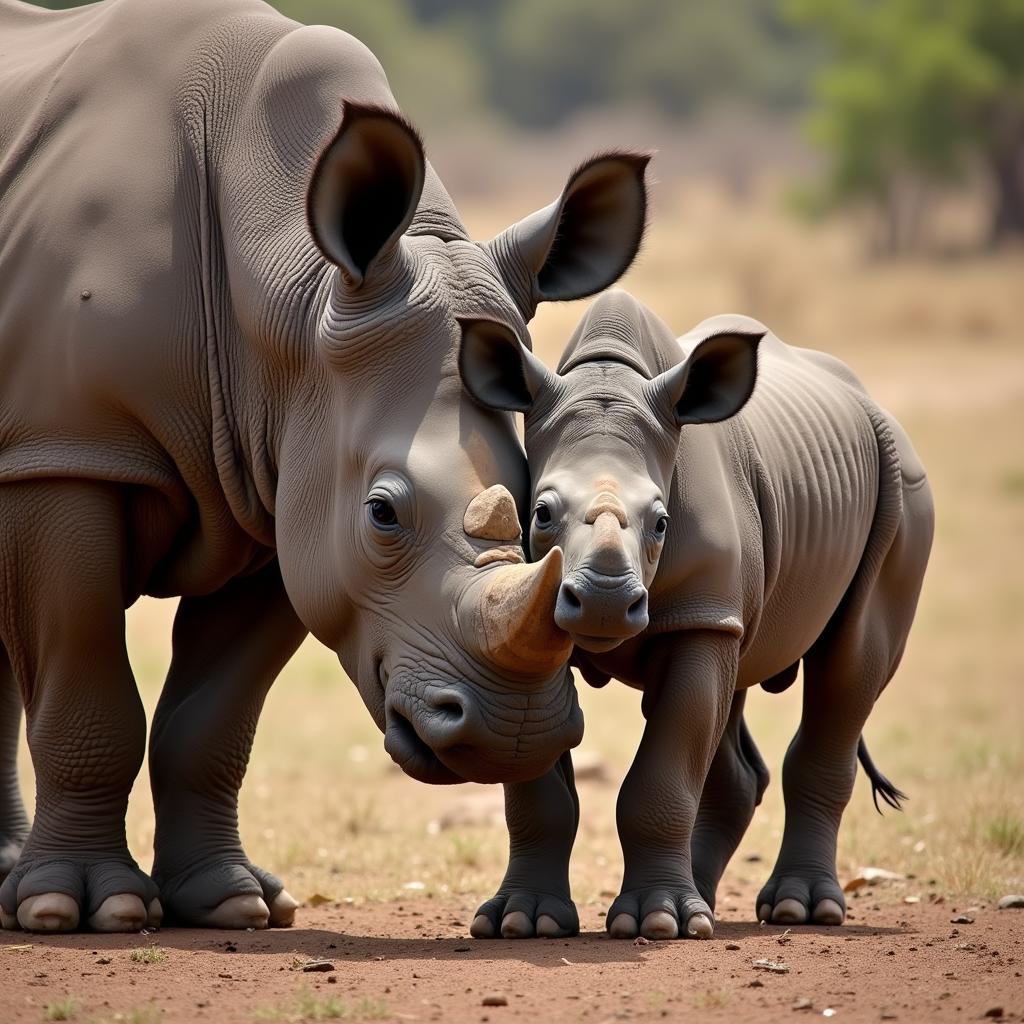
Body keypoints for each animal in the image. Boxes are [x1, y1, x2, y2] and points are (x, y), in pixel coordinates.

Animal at [464, 292, 937, 937]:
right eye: (540, 513)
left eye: (663, 522)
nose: (606, 603)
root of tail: (869, 402)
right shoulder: (525, 613)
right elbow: (537, 778)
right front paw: (522, 920)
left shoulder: (701, 613)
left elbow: (665, 769)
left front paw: (656, 923)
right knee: (737, 692)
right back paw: (704, 906)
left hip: (904, 485)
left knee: (848, 670)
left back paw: (799, 910)